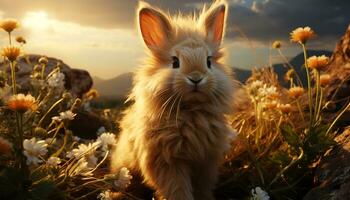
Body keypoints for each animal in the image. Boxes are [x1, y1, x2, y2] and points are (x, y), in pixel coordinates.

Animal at [111, 0, 238, 199]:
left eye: (209, 61)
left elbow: (202, 187)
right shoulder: (168, 162)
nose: (196, 78)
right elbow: (177, 188)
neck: (191, 110)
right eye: (175, 62)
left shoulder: (206, 162)